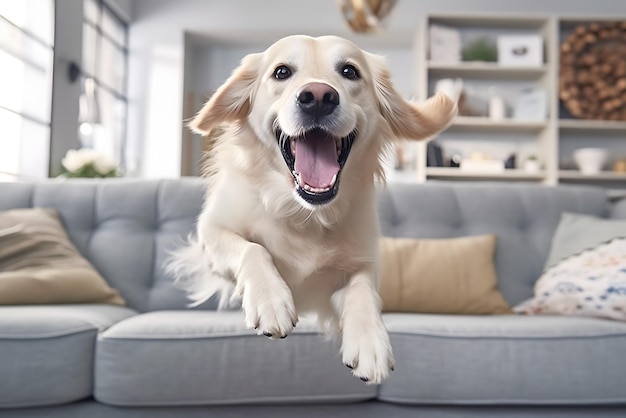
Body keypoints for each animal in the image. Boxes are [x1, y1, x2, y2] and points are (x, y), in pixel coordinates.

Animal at [168, 34, 456, 384]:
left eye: (350, 71)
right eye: (281, 72)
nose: (318, 97)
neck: (303, 211)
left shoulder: (363, 261)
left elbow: (362, 288)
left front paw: (370, 341)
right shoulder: (211, 232)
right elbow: (251, 249)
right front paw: (270, 299)